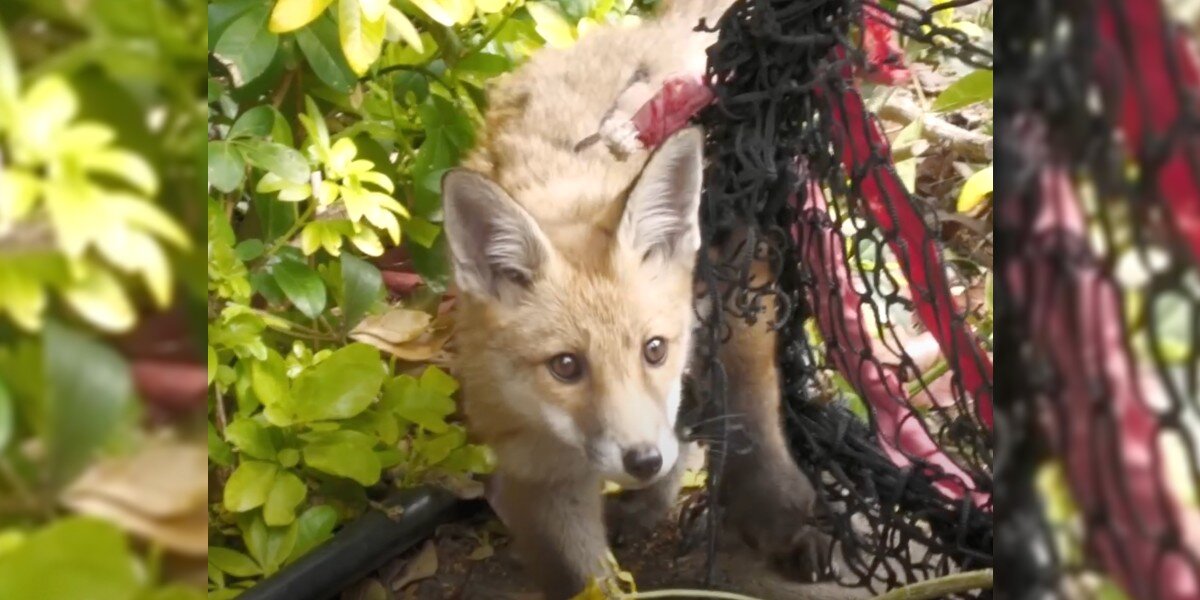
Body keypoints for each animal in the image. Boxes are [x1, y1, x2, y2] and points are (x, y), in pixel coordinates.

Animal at [440, 0, 828, 597]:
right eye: (566, 366)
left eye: (653, 349)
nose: (642, 461)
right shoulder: (535, 470)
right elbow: (580, 574)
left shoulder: (738, 291)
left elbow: (748, 415)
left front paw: (777, 514)